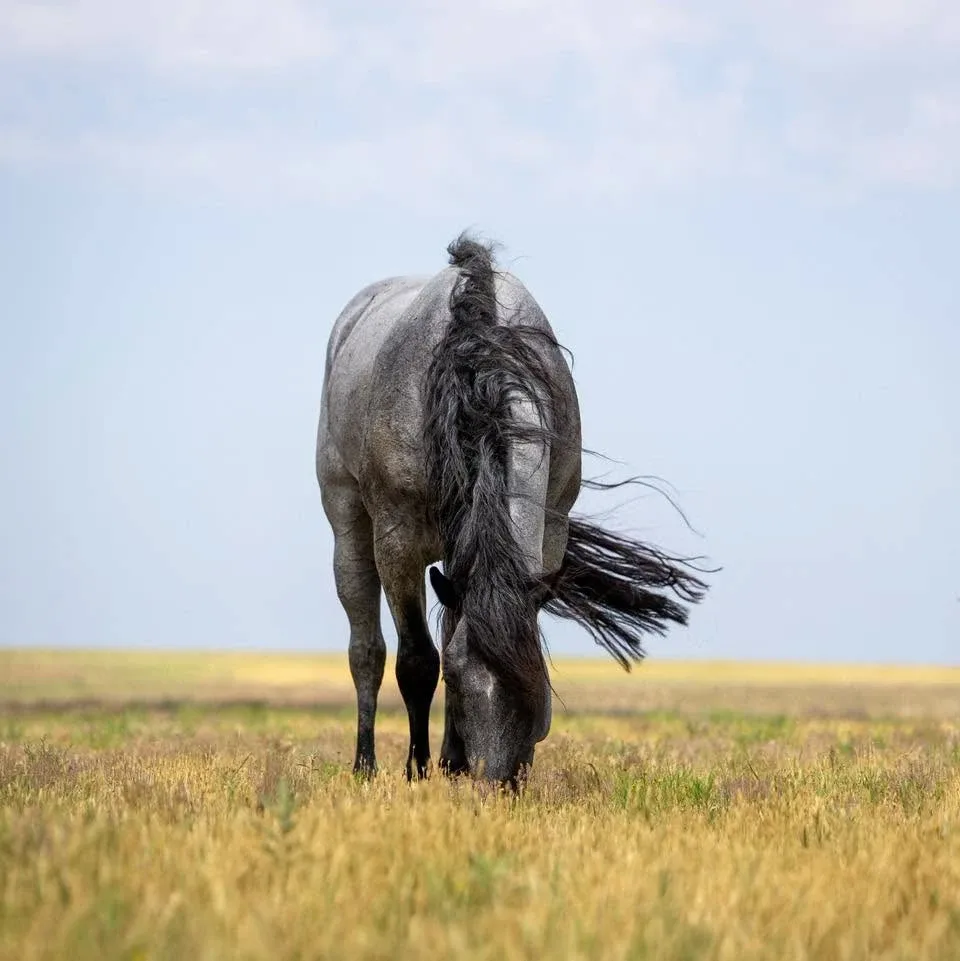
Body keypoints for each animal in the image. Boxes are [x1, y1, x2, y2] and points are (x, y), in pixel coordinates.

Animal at [316, 233, 709, 786]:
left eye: (534, 678)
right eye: (459, 680)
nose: (497, 782)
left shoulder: (548, 530)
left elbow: (454, 631)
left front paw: (450, 762)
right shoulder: (397, 542)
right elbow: (418, 659)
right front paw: (417, 771)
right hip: (348, 525)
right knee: (366, 649)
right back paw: (366, 766)